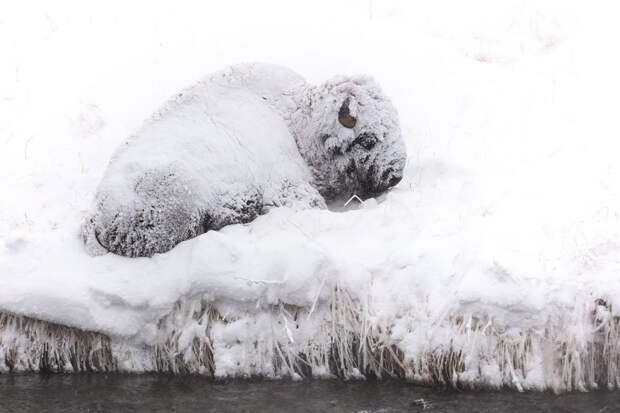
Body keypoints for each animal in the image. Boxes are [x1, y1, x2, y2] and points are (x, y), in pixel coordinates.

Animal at [82, 62, 410, 256]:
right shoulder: (291, 190)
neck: (296, 119)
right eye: (368, 138)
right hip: (179, 191)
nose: (395, 175)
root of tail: (97, 214)